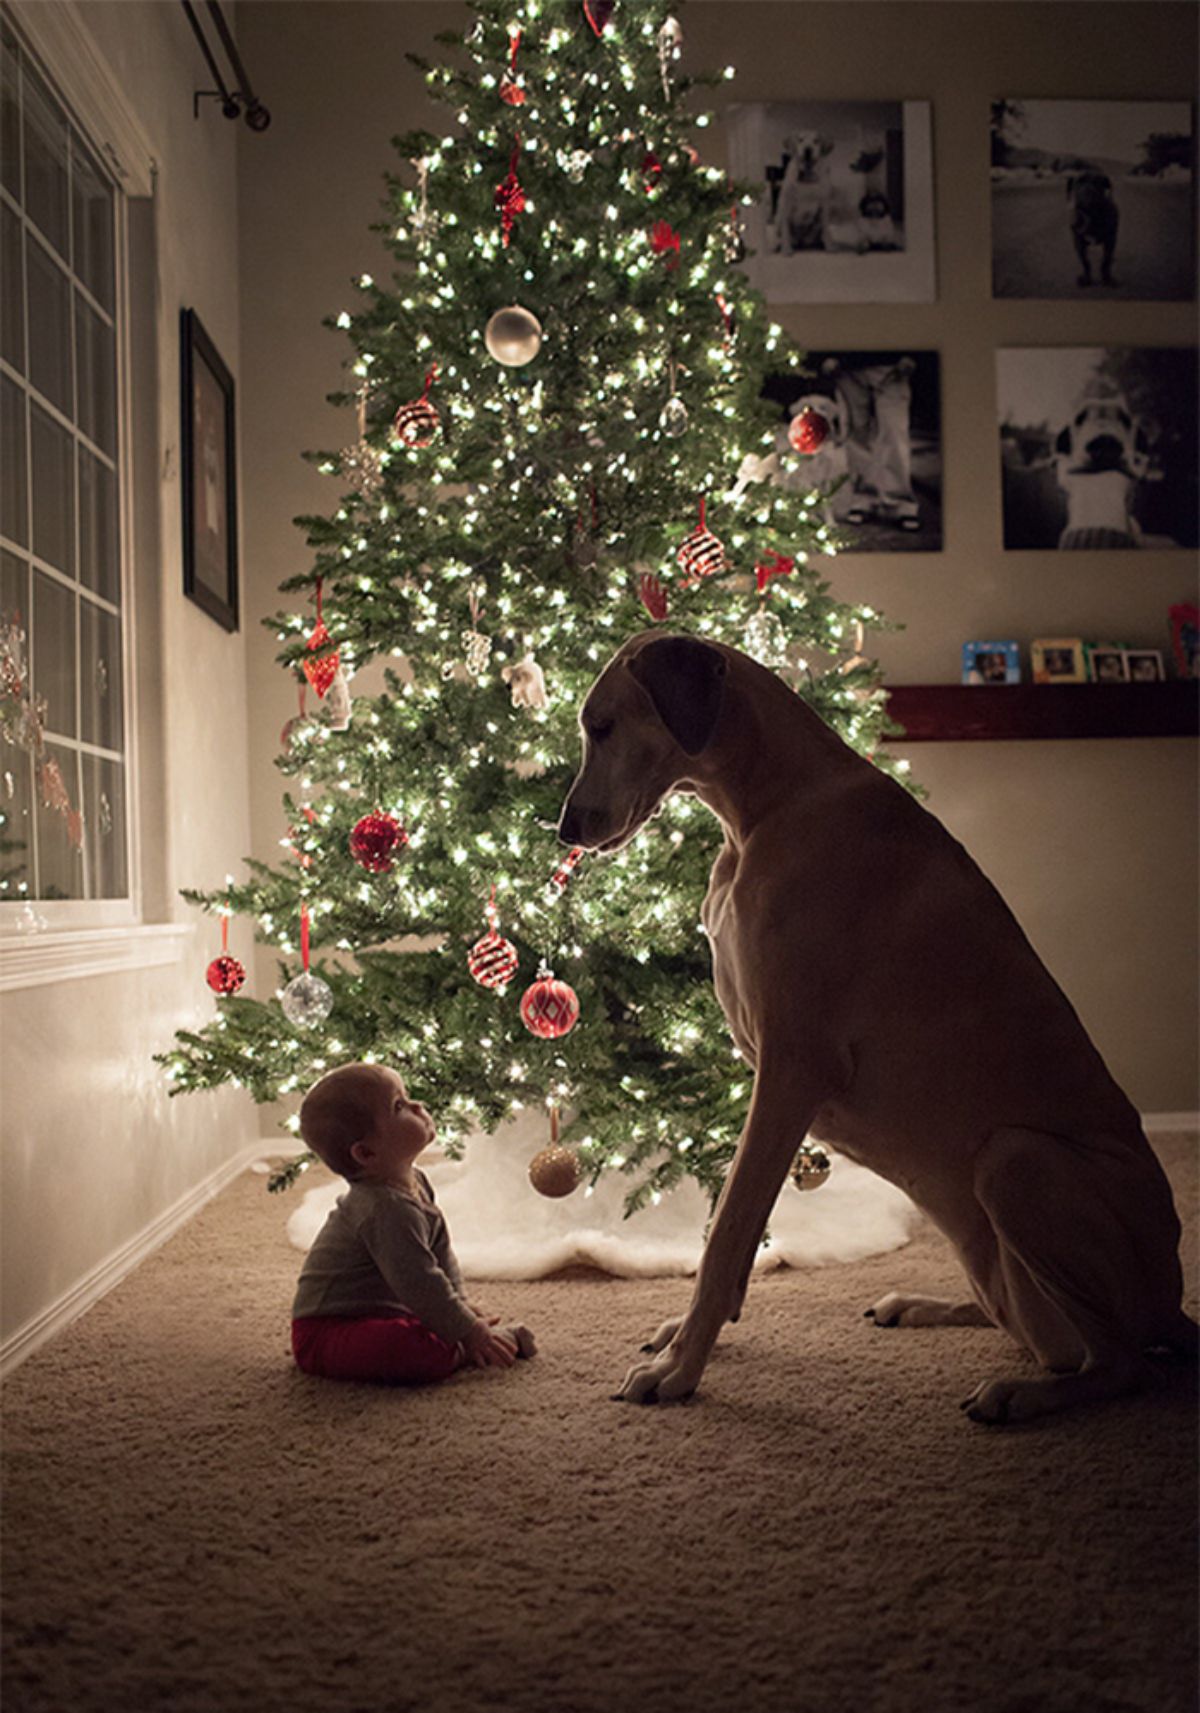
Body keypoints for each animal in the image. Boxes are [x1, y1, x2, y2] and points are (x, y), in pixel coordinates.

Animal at [554, 637, 1191, 1425]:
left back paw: (1022, 1394)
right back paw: (922, 1306)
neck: (768, 802)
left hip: (1016, 1161)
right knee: (1039, 1332)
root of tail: (1174, 1305)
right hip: (994, 1252)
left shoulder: (792, 1069)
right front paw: (690, 1339)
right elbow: (733, 1232)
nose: (564, 828)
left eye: (603, 726)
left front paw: (681, 1369)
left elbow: (729, 1230)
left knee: (1122, 1364)